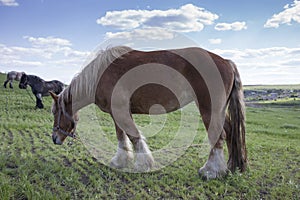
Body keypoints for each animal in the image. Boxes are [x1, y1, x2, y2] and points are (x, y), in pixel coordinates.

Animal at [48, 45, 246, 180]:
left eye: (55, 112)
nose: (54, 138)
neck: (100, 75)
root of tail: (227, 62)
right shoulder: (116, 114)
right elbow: (122, 137)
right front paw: (120, 161)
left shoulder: (121, 111)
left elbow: (134, 137)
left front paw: (143, 164)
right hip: (220, 112)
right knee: (230, 133)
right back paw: (230, 166)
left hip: (209, 110)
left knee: (218, 137)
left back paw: (211, 171)